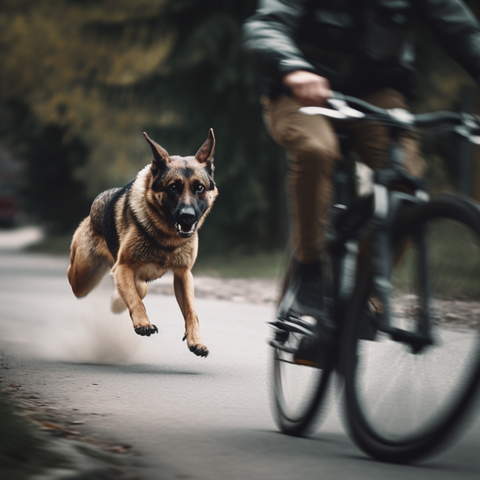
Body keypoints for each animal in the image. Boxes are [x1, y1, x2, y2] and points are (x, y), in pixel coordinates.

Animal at [67, 130, 218, 356]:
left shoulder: (183, 275)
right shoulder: (123, 267)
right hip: (83, 277)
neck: (166, 237)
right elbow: (136, 301)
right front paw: (143, 323)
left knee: (136, 290)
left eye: (199, 188)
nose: (188, 216)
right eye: (174, 187)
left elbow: (192, 312)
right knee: (74, 275)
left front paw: (196, 341)